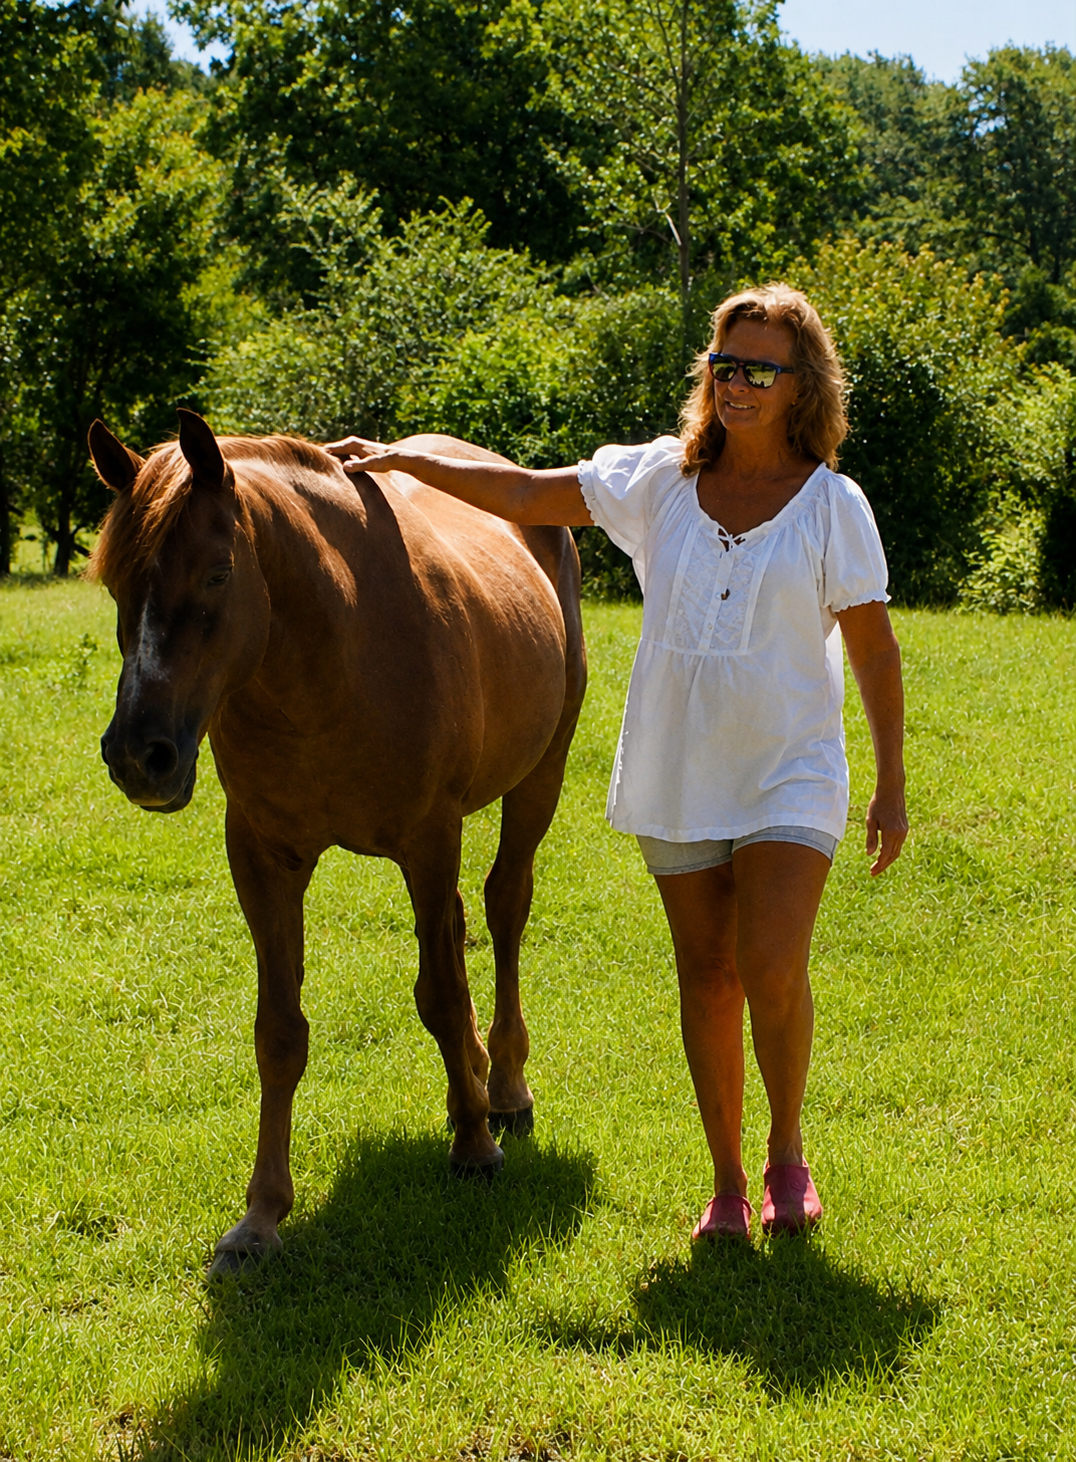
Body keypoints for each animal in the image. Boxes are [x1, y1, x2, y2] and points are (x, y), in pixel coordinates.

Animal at [87, 409, 587, 1275]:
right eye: (117, 581)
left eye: (217, 574)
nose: (139, 756)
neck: (333, 652)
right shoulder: (263, 858)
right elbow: (279, 1033)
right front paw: (260, 1217)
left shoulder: (428, 839)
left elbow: (439, 992)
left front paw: (474, 1145)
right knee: (465, 924)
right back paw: (478, 1077)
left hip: (539, 778)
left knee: (504, 910)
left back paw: (505, 1088)